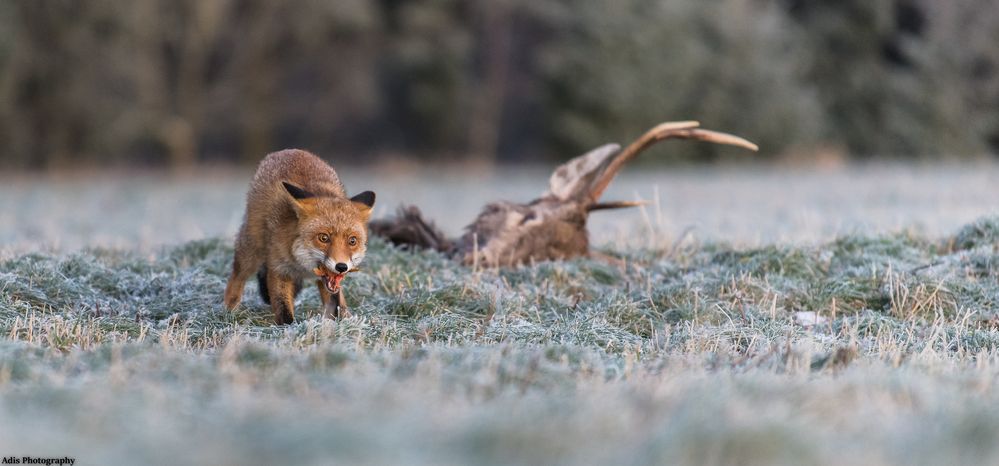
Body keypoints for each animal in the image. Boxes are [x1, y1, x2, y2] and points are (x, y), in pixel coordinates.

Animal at [223, 149, 376, 324]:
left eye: (352, 241)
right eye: (323, 238)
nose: (341, 267)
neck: (302, 265)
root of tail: (288, 150)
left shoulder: (329, 282)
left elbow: (335, 302)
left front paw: (340, 321)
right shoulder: (279, 269)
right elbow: (283, 310)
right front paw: (290, 328)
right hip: (252, 251)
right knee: (237, 276)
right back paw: (229, 310)